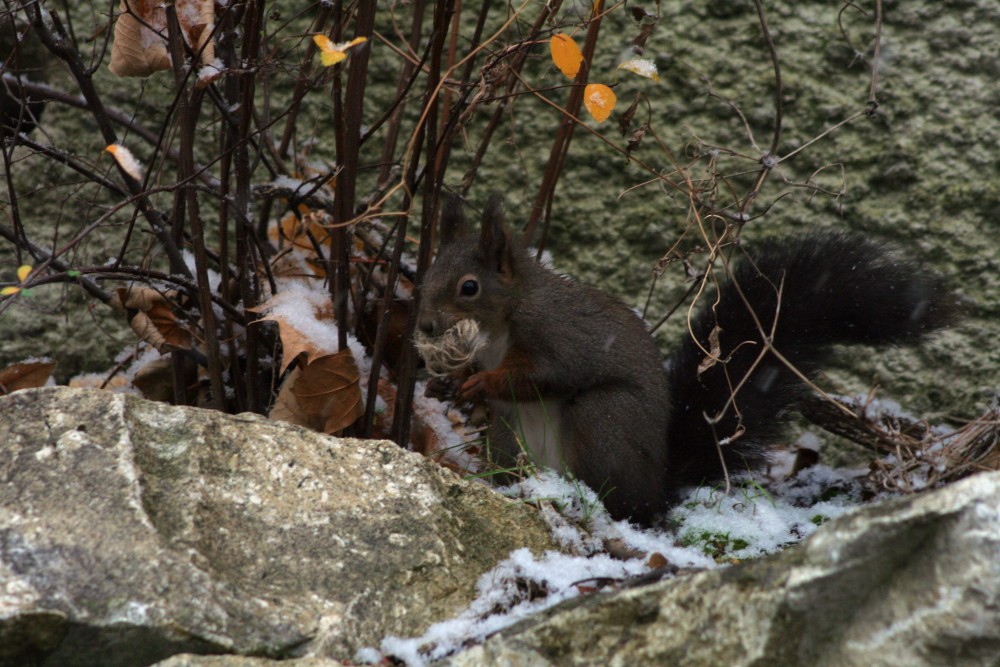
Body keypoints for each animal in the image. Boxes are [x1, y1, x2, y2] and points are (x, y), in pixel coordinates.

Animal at [412, 197, 952, 528]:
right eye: (431, 271)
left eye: (468, 287)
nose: (425, 326)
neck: (502, 320)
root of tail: (658, 486)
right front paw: (448, 381)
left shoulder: (558, 336)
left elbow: (546, 376)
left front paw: (481, 383)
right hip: (509, 436)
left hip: (604, 419)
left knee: (617, 497)